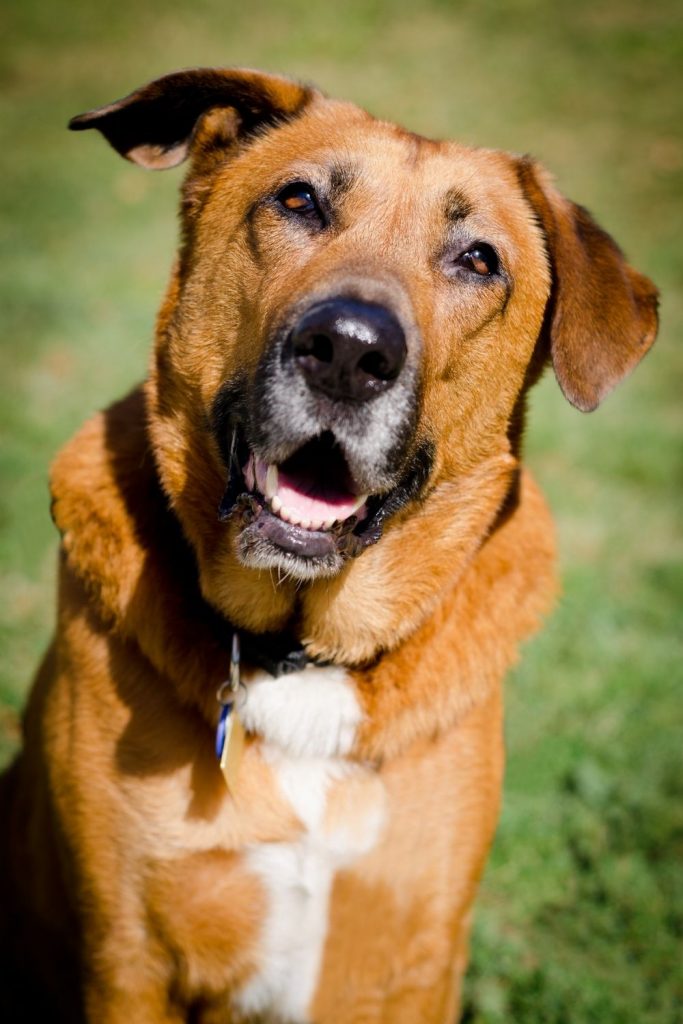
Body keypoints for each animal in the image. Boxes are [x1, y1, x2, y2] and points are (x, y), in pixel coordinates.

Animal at [0, 70, 659, 1024]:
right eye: (298, 200)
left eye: (478, 260)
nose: (348, 352)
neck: (302, 652)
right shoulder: (124, 956)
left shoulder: (416, 957)